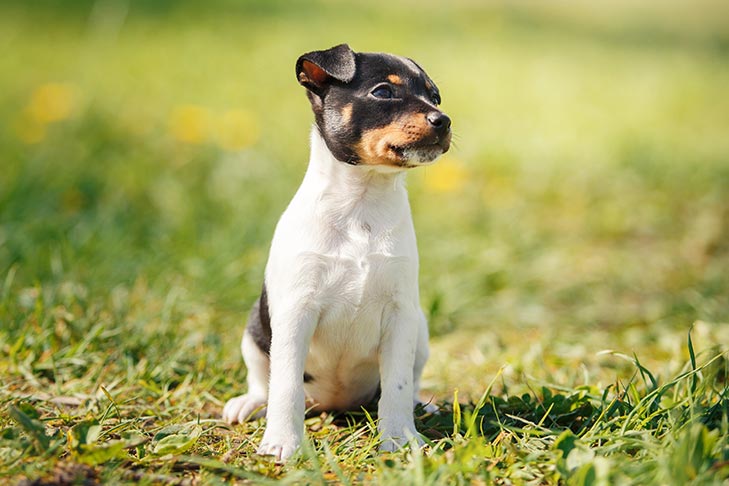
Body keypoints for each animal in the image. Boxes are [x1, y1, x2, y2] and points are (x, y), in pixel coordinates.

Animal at [222, 43, 450, 462]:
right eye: (383, 92)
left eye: (435, 97)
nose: (443, 120)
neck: (362, 204)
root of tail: (333, 404)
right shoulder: (296, 312)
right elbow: (285, 387)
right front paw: (282, 442)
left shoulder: (401, 316)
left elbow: (395, 386)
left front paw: (400, 438)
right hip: (254, 333)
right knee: (263, 381)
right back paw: (249, 403)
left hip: (421, 330)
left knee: (407, 382)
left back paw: (420, 404)